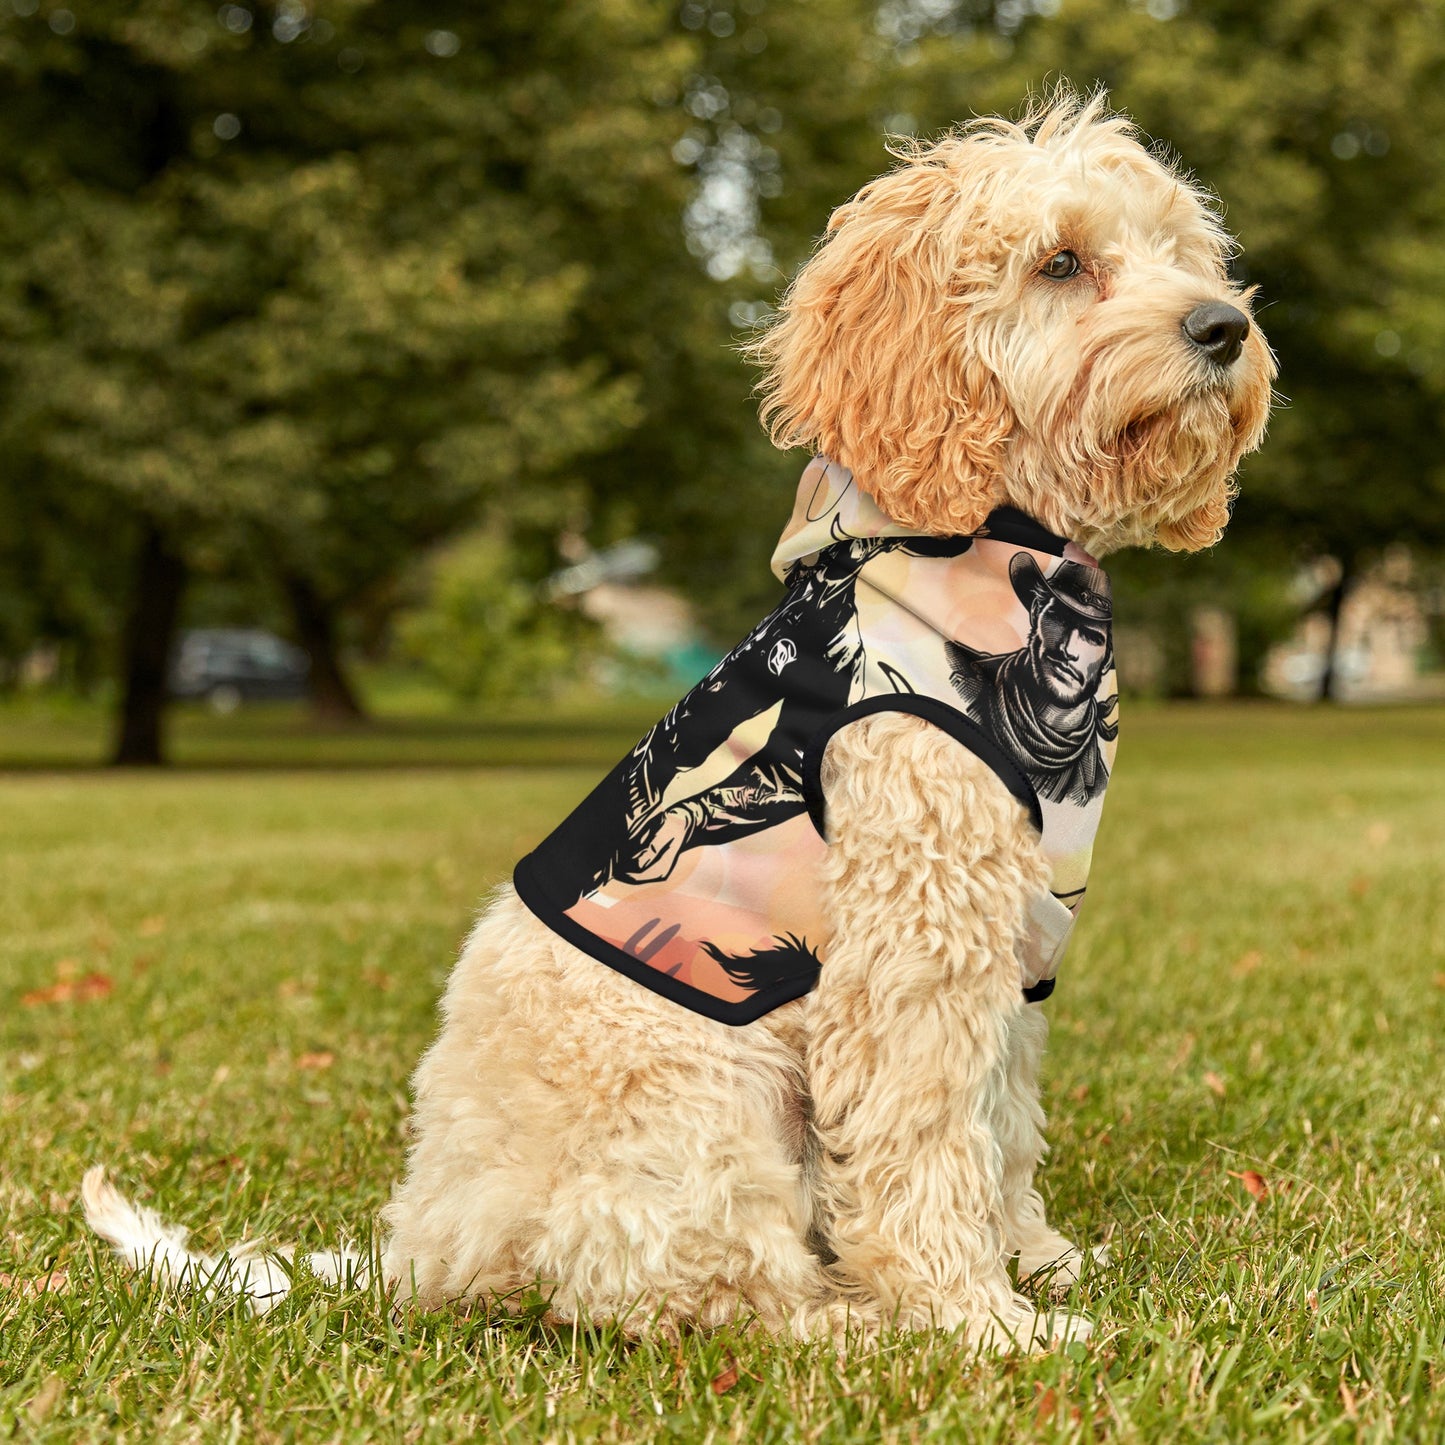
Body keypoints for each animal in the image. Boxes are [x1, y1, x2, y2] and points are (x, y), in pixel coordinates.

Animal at [84, 90, 1271, 1352]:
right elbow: (924, 1139)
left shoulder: (1011, 945)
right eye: (1059, 261)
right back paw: (851, 1322)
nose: (1222, 327)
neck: (972, 543)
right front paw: (976, 1318)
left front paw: (1034, 1259)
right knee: (697, 1290)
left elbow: (999, 1123)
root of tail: (424, 1248)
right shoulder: (910, 948)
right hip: (703, 1098)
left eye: (1181, 253)